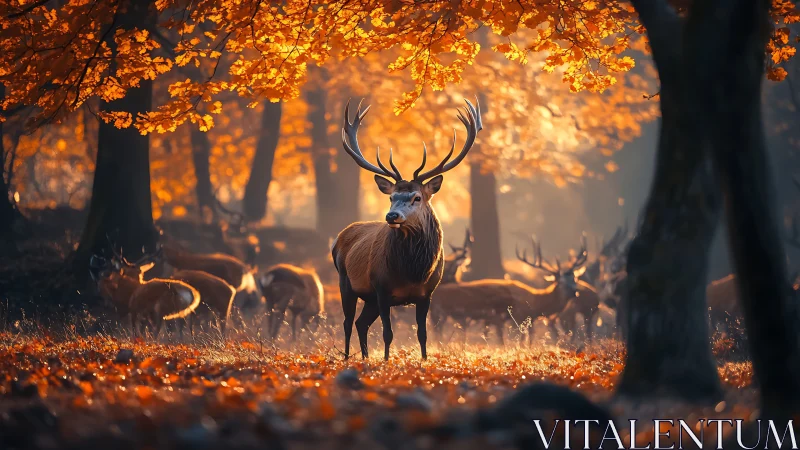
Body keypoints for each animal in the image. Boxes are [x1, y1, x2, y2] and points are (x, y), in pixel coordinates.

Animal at [331, 97, 483, 360]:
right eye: (391, 197)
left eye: (416, 197)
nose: (391, 216)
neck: (412, 271)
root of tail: (338, 239)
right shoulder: (381, 289)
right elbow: (387, 333)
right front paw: (386, 360)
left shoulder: (427, 294)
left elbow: (423, 334)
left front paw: (423, 360)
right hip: (345, 281)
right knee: (348, 322)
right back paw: (349, 357)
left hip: (368, 298)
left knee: (361, 323)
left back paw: (365, 357)